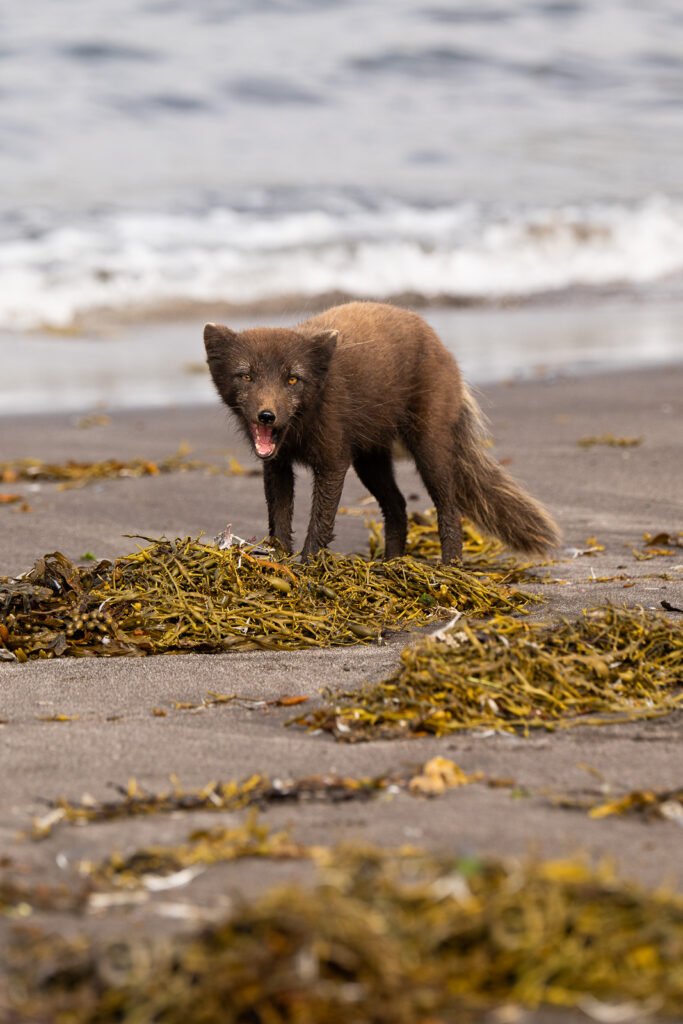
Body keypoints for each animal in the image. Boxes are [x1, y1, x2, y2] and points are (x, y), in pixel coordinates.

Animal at [203, 301, 560, 562]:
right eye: (246, 376)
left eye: (293, 379)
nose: (267, 416)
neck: (302, 425)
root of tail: (439, 343)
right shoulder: (277, 464)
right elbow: (278, 519)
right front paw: (278, 559)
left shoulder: (334, 460)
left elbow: (321, 519)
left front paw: (308, 565)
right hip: (369, 459)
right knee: (398, 507)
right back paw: (391, 564)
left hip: (428, 446)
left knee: (449, 506)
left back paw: (450, 566)